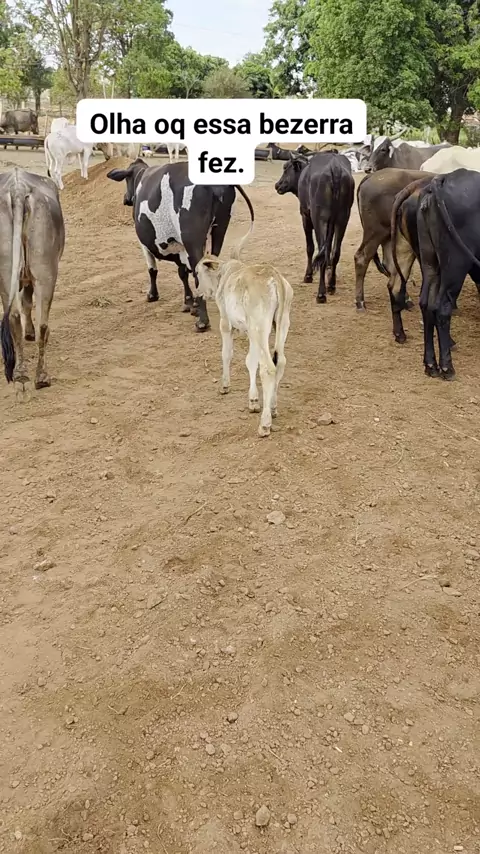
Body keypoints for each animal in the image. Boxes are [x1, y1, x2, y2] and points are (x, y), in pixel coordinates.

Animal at [0, 168, 65, 393]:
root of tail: (18, 188)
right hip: (45, 272)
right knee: (39, 323)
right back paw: (40, 376)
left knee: (16, 317)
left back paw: (24, 374)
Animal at [106, 158, 254, 333]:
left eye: (126, 180)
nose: (126, 198)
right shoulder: (181, 248)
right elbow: (183, 272)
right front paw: (190, 302)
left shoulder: (145, 244)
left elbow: (152, 269)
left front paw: (153, 295)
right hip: (218, 232)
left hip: (193, 241)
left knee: (199, 274)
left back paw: (202, 321)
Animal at [195, 246, 293, 438]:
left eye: (197, 272)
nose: (199, 292)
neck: (225, 274)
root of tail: (275, 277)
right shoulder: (250, 333)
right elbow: (251, 361)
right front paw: (253, 399)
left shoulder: (226, 323)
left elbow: (227, 354)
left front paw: (225, 385)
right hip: (282, 323)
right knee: (280, 363)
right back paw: (273, 407)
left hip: (260, 328)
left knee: (268, 368)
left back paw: (265, 424)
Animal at [274, 151, 354, 303]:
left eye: (286, 168)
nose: (277, 185)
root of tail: (335, 167)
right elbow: (328, 249)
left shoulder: (305, 216)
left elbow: (310, 247)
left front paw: (308, 275)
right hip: (342, 219)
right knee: (335, 252)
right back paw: (331, 285)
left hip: (319, 219)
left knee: (321, 253)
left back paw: (321, 294)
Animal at [354, 167, 435, 311]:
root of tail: (371, 176)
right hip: (376, 233)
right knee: (361, 258)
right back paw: (360, 301)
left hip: (389, 236)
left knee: (392, 266)